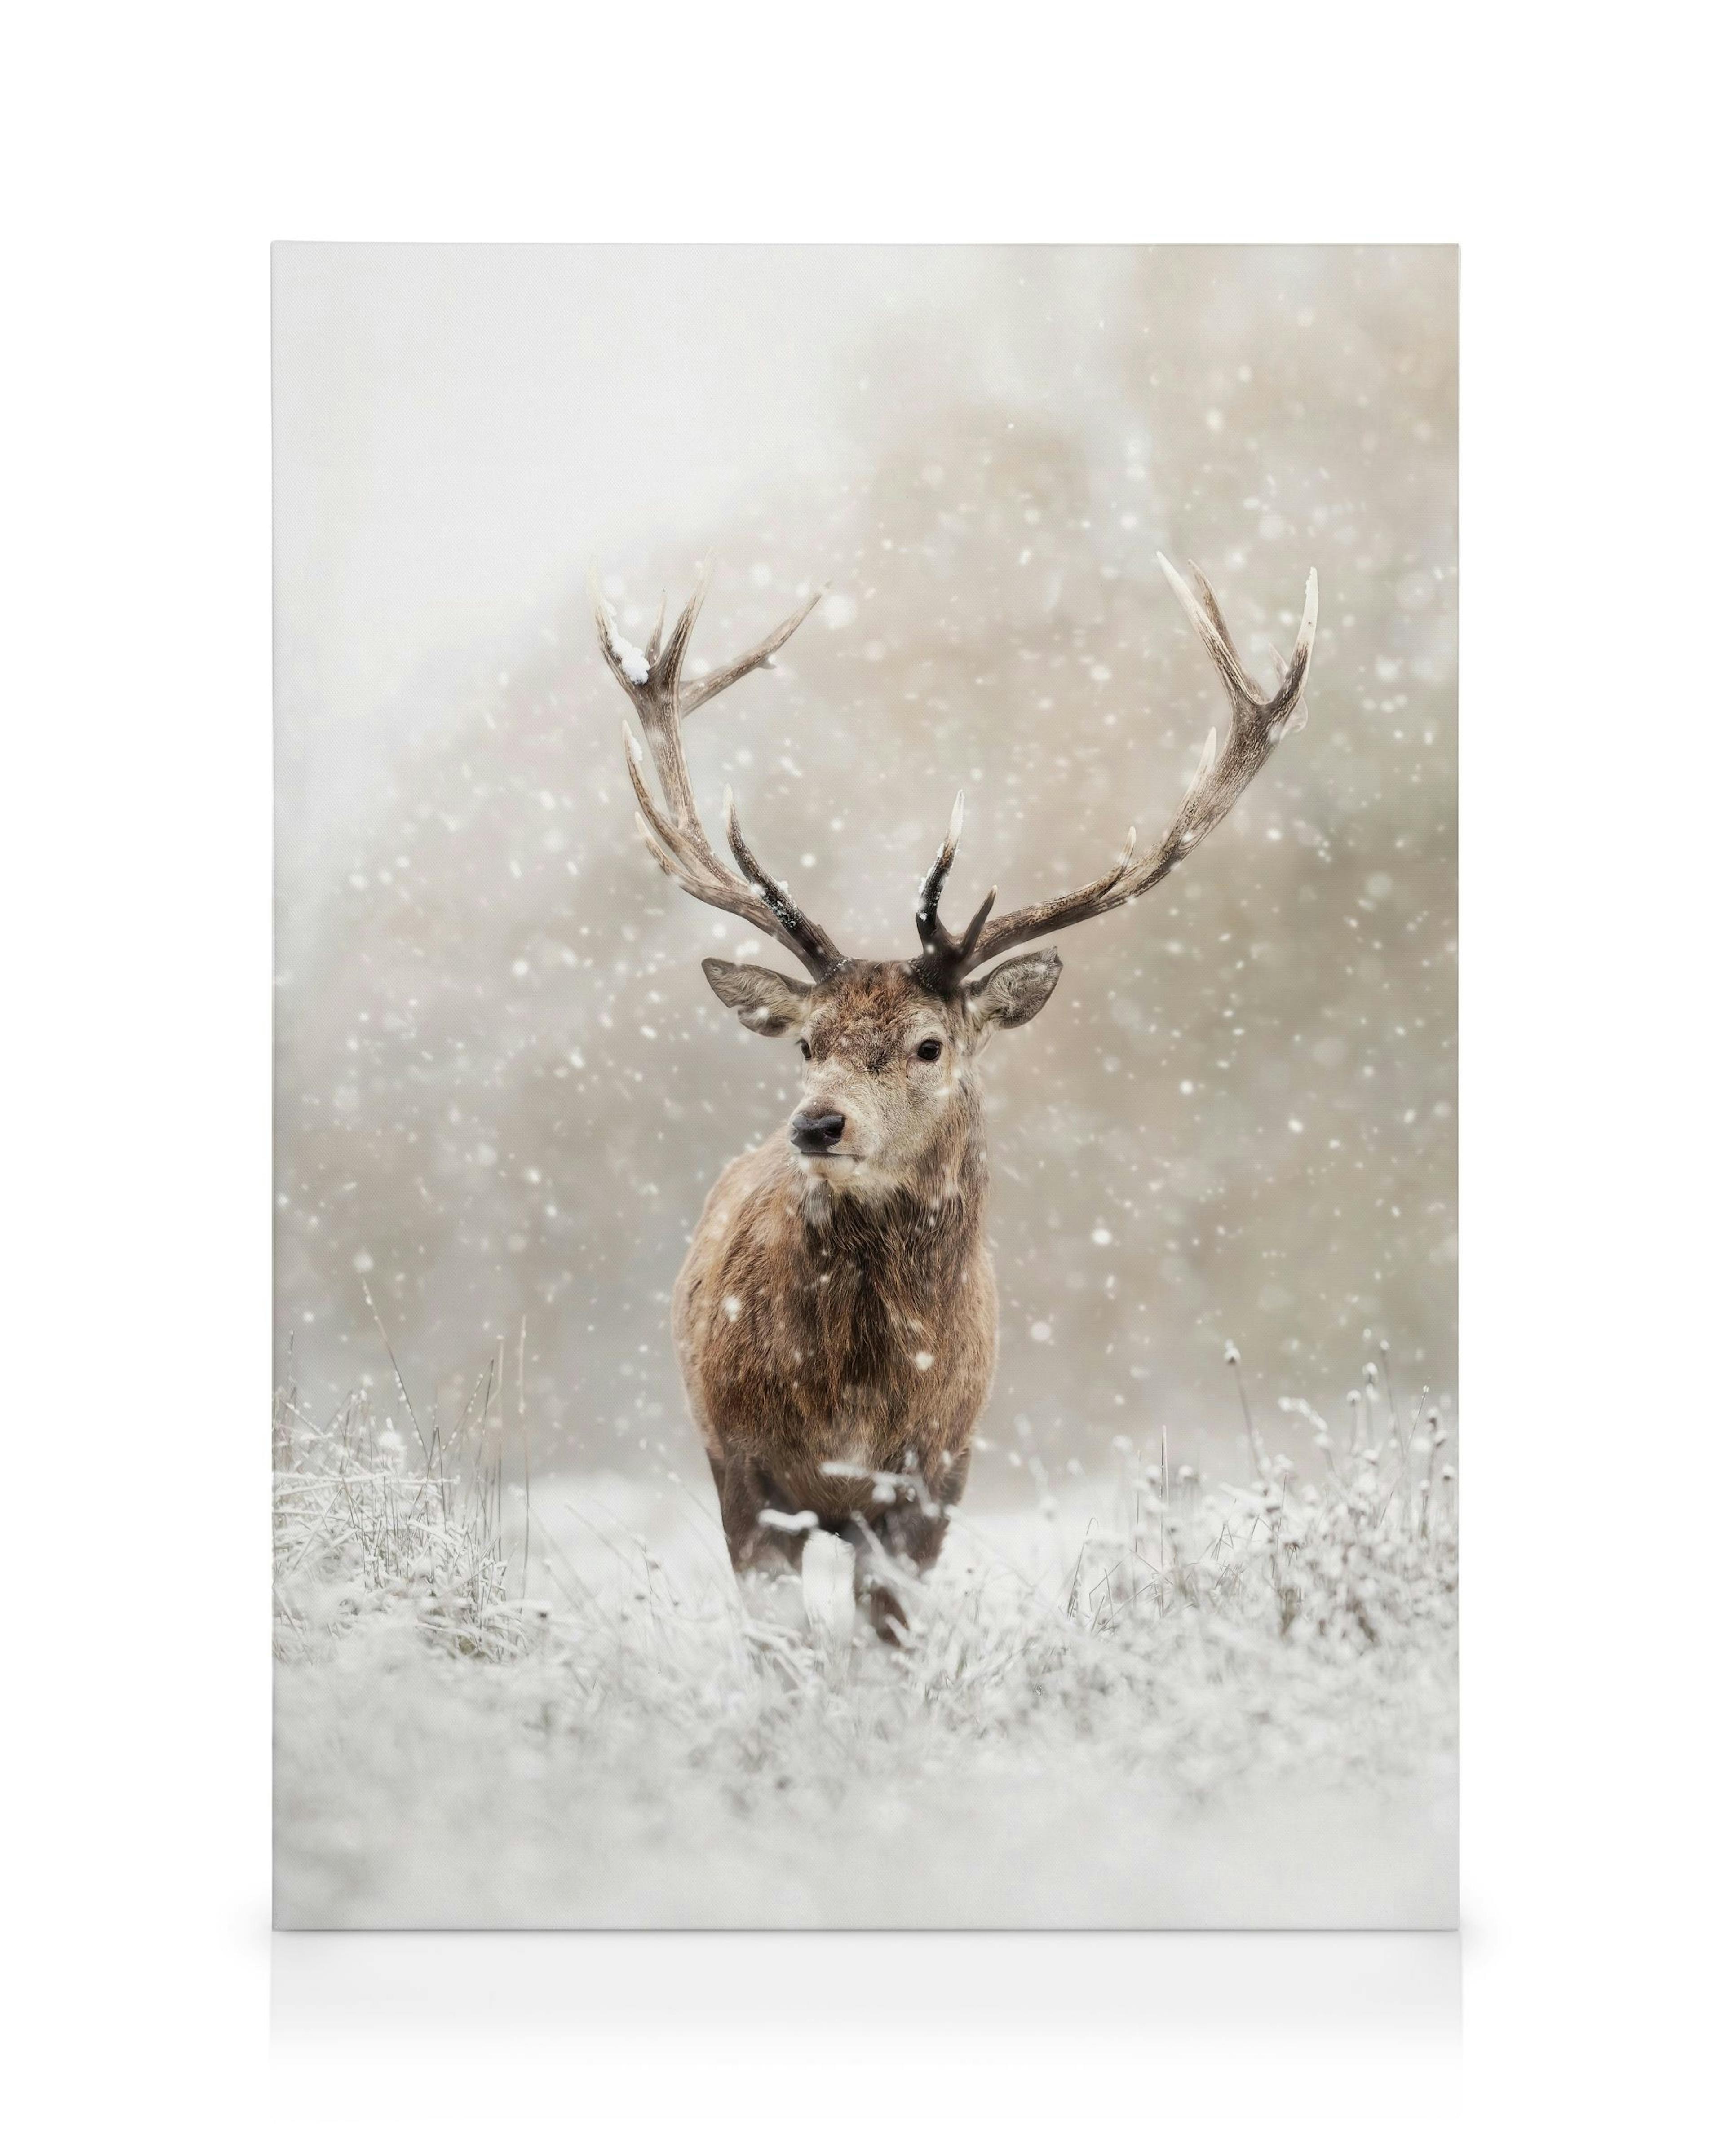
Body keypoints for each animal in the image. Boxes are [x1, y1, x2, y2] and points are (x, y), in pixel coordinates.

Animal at [594, 553, 1317, 1646]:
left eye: (929, 1044)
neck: (854, 1402)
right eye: (807, 1041)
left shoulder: (934, 1481)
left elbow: (886, 1644)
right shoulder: (743, 1474)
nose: (817, 1123)